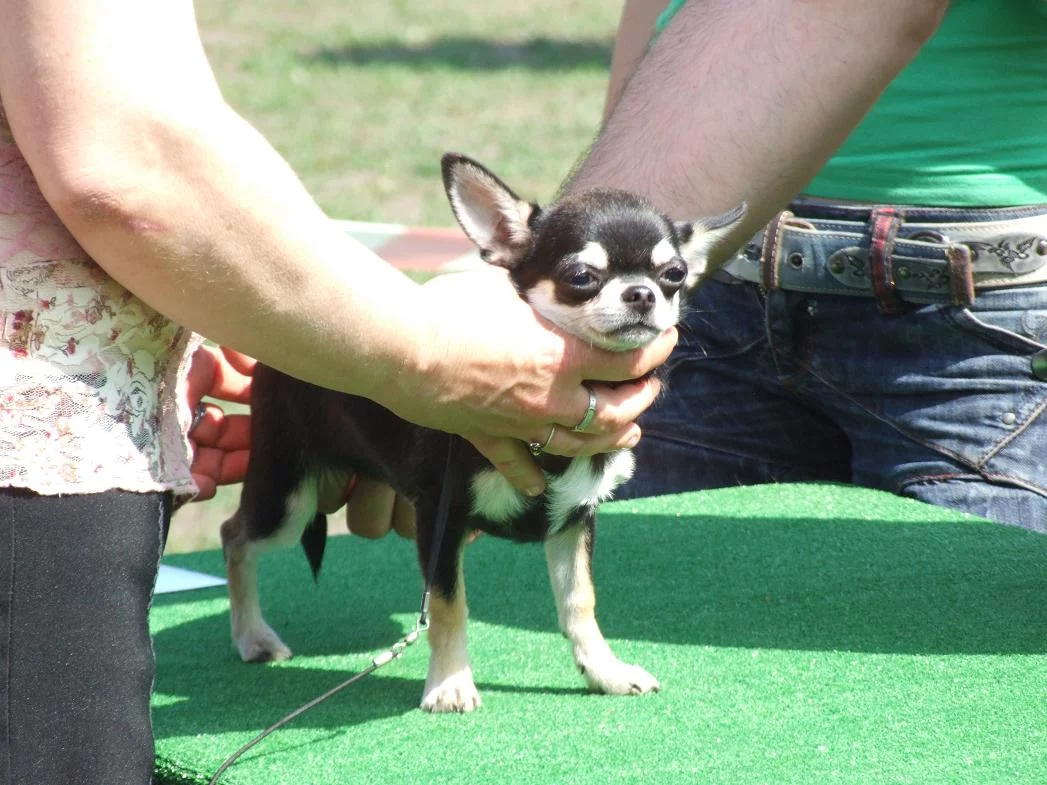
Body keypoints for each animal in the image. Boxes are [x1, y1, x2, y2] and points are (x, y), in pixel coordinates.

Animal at [220, 153, 745, 712]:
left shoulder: (574, 519)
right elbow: (449, 605)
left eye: (675, 274)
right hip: (287, 497)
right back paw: (252, 636)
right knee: (234, 537)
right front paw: (450, 683)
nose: (642, 293)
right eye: (581, 276)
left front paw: (604, 671)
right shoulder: (440, 517)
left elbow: (579, 601)